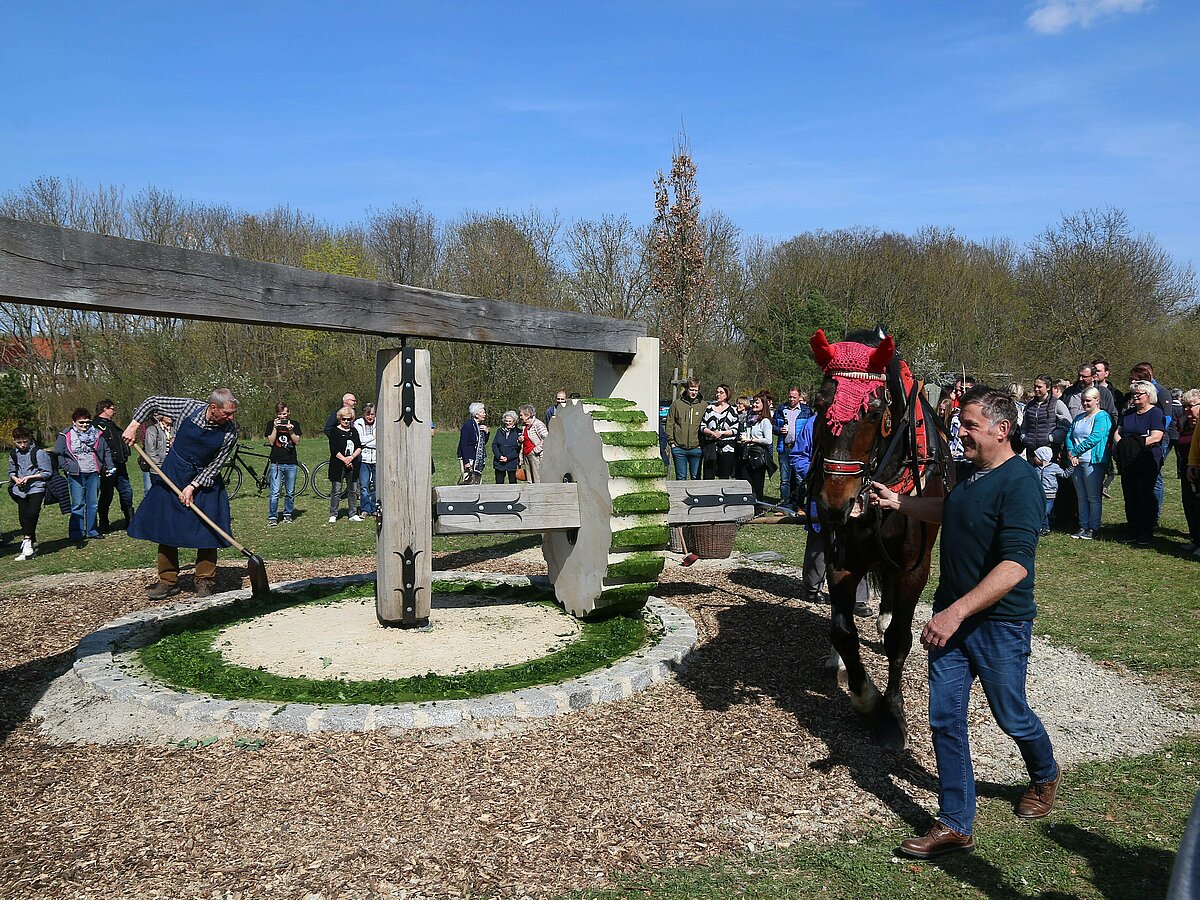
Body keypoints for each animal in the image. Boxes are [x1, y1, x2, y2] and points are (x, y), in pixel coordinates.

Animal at [806, 328, 955, 748]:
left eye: (873, 412)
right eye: (818, 405)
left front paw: (892, 714)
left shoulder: (914, 568)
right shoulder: (842, 561)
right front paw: (866, 698)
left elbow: (899, 640)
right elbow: (843, 632)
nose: (834, 503)